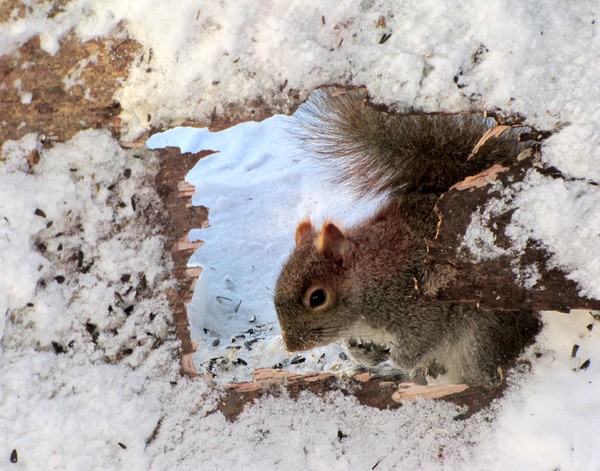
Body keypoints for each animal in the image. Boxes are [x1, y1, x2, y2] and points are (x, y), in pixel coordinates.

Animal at [274, 88, 540, 388]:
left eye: (317, 298)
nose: (291, 345)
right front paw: (365, 355)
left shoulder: (419, 304)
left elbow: (423, 337)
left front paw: (403, 360)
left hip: (481, 336)